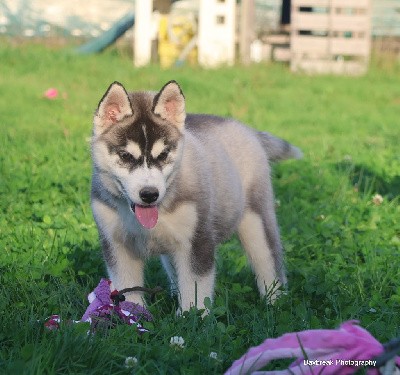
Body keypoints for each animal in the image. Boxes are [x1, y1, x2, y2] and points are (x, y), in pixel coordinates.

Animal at [90, 81, 300, 312]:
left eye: (163, 155)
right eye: (125, 156)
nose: (149, 194)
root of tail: (246, 129)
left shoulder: (197, 239)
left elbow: (195, 290)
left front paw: (191, 317)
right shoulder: (117, 244)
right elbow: (128, 290)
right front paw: (132, 316)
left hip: (256, 219)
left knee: (267, 259)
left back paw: (276, 301)